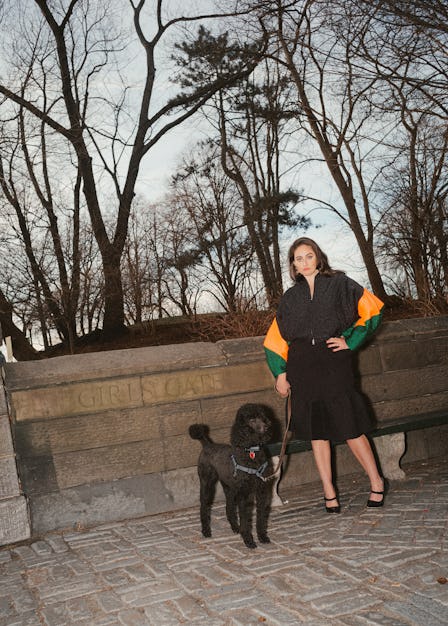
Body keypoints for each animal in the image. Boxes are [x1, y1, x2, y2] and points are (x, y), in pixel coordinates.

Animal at [188, 404, 272, 544]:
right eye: (251, 420)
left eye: (262, 416)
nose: (266, 427)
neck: (251, 454)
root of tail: (207, 445)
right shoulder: (244, 494)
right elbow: (244, 519)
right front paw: (248, 540)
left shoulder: (261, 491)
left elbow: (260, 518)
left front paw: (262, 537)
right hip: (207, 484)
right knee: (204, 507)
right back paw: (206, 531)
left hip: (229, 488)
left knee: (229, 508)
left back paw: (235, 527)